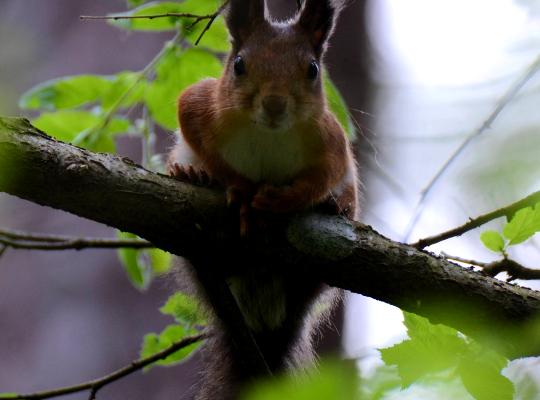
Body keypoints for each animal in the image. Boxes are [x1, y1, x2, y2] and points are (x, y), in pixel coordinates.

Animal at [167, 0, 356, 398]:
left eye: (313, 69)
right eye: (239, 64)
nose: (273, 104)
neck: (269, 134)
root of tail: (263, 319)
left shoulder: (331, 142)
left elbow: (324, 177)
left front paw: (285, 200)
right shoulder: (201, 105)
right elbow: (198, 131)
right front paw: (239, 190)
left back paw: (333, 206)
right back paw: (192, 175)